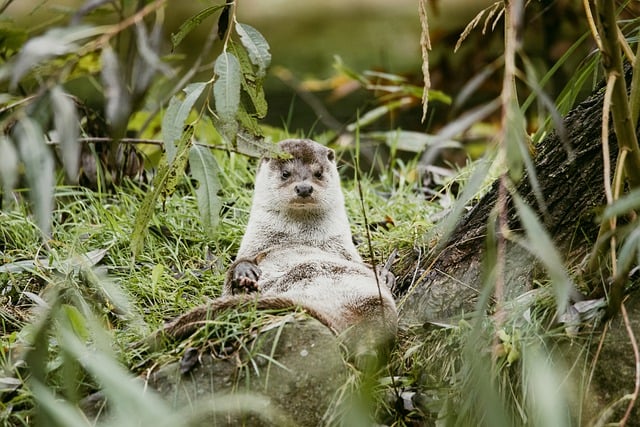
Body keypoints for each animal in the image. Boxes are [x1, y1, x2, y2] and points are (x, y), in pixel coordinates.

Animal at [158, 139, 398, 352]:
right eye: (285, 173)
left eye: (318, 173)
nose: (304, 188)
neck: (300, 237)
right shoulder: (254, 245)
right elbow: (234, 268)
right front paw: (244, 272)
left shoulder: (344, 251)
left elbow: (363, 264)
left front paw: (384, 274)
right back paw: (246, 285)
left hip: (372, 300)